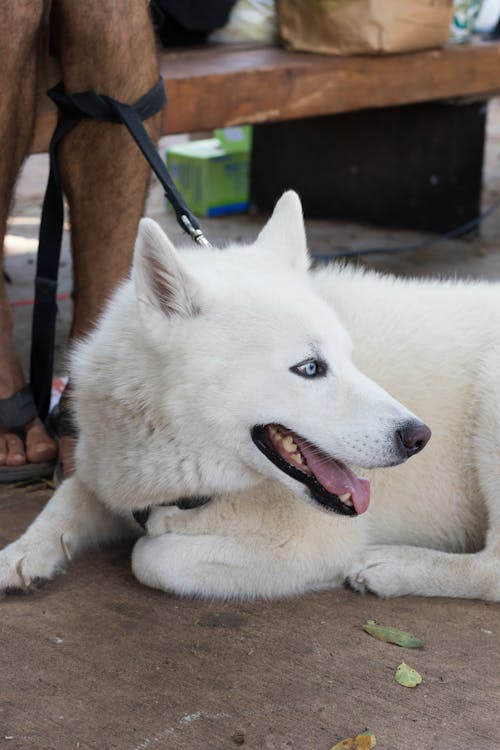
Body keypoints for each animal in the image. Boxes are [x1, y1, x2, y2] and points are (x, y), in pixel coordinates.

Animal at [0, 191, 500, 604]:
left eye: (349, 357)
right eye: (310, 368)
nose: (419, 437)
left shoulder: (317, 544)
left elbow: (151, 556)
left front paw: (156, 536)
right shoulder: (103, 472)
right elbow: (67, 495)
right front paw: (21, 553)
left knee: (491, 571)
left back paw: (391, 567)